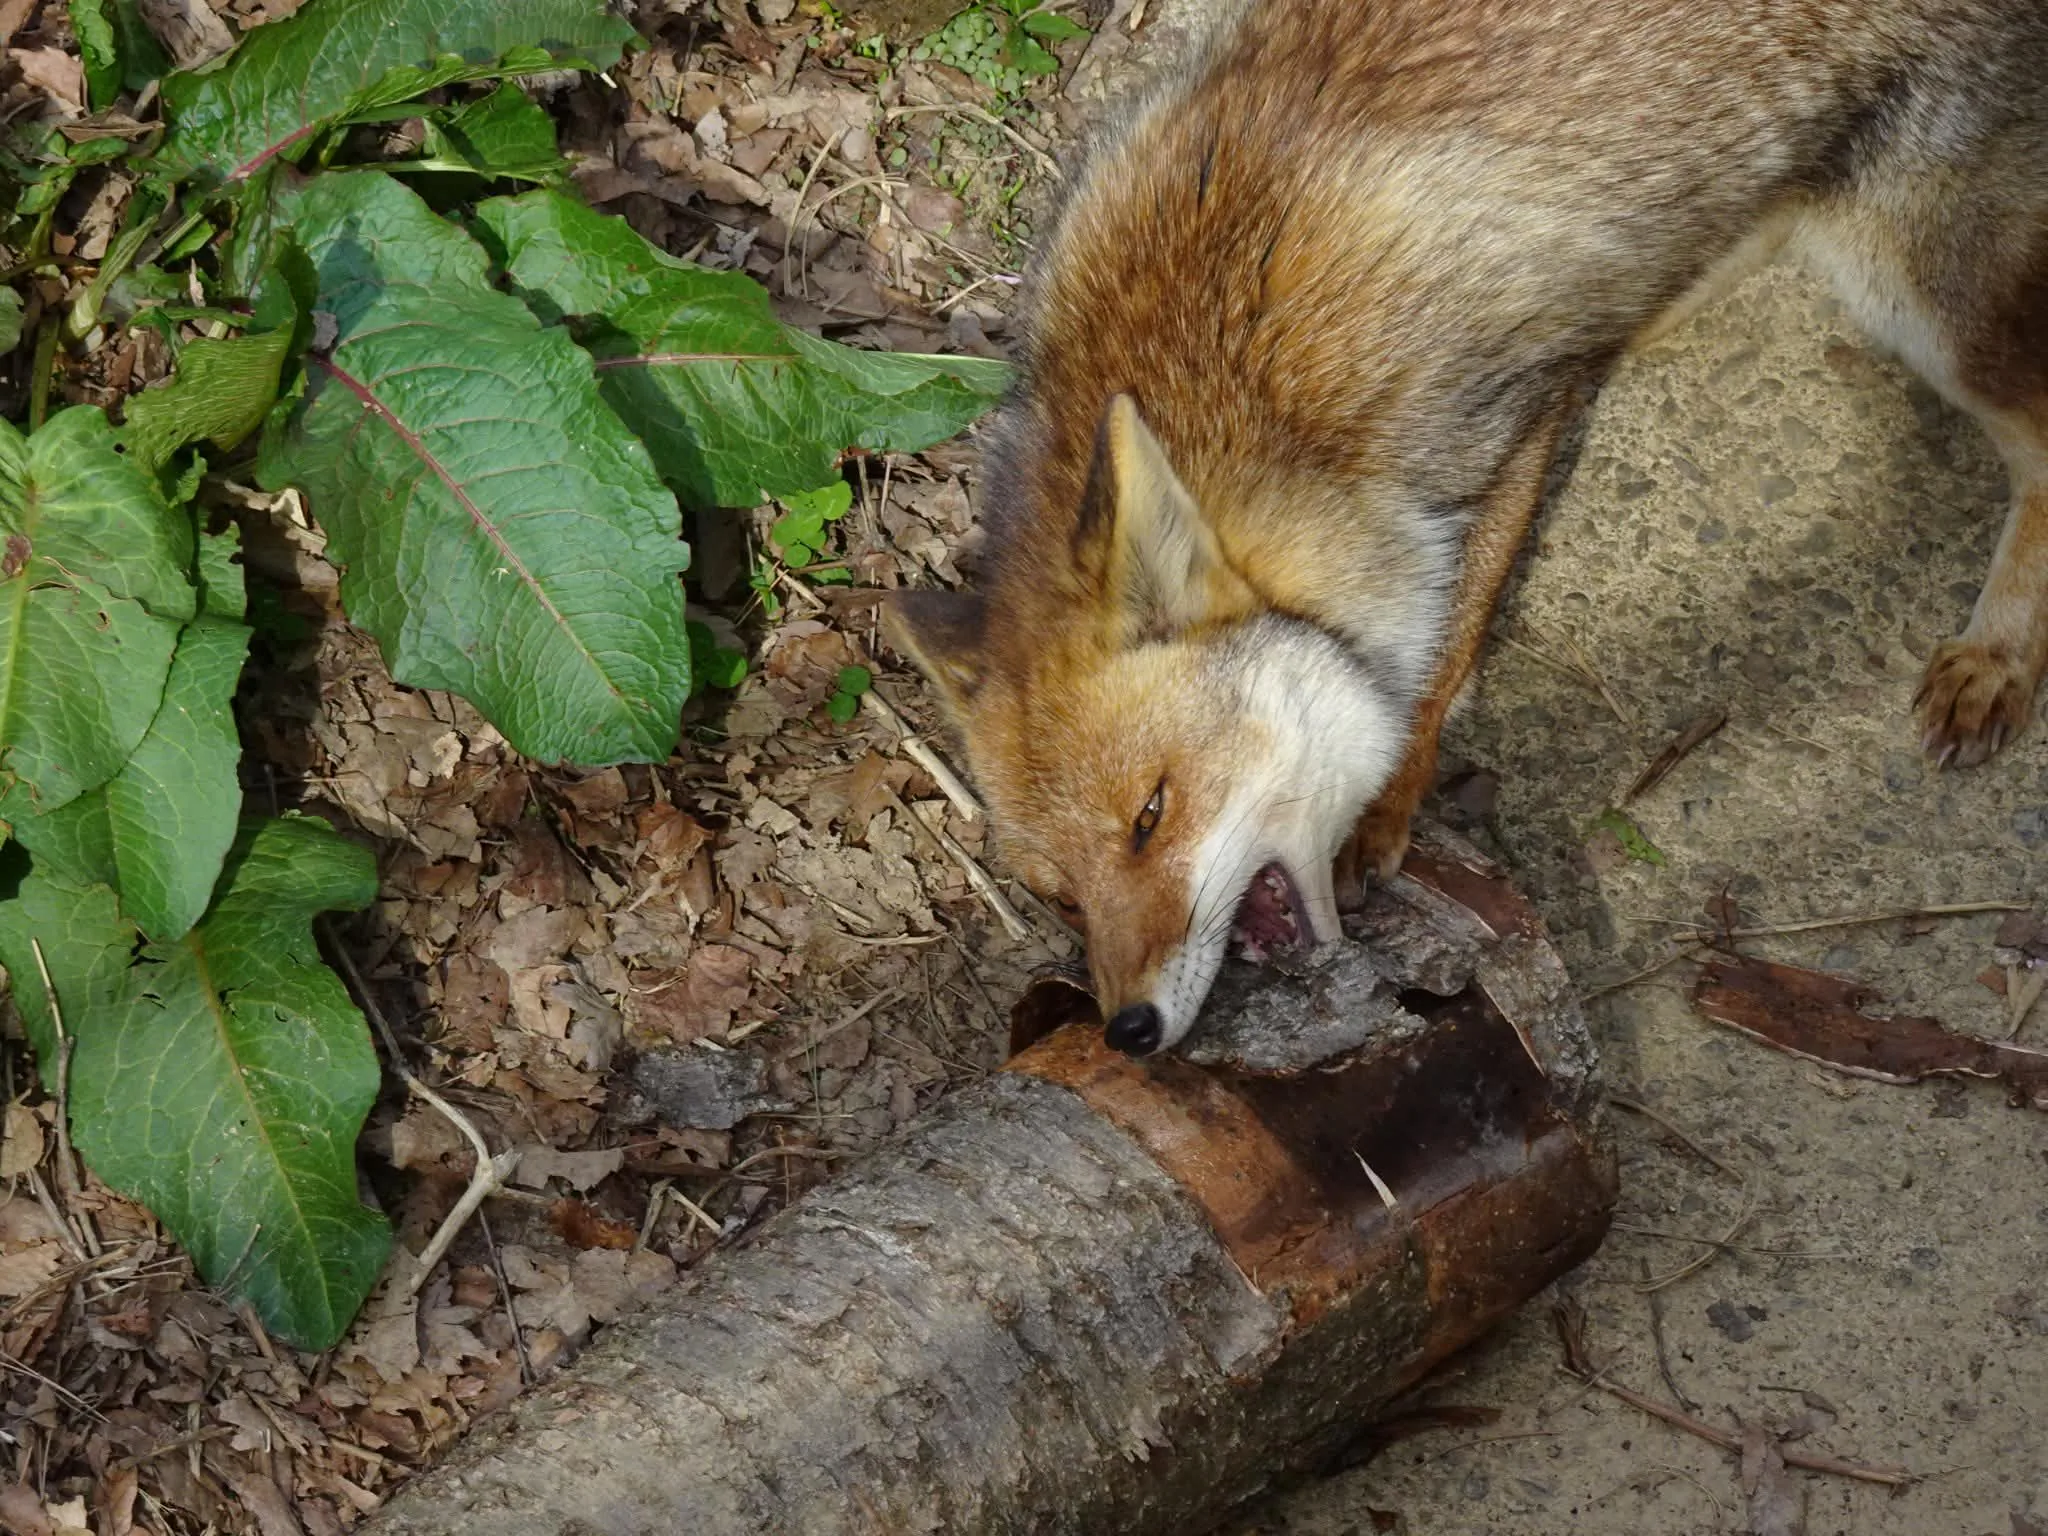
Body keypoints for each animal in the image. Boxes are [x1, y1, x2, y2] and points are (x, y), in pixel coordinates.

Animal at [883, 0, 2048, 1057]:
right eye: (1062, 895)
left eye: (1148, 818)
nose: (1126, 1029)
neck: (1234, 379)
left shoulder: (1503, 430)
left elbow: (1443, 649)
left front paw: (1389, 806)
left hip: (1911, 293)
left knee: (2037, 437)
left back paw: (1995, 654)